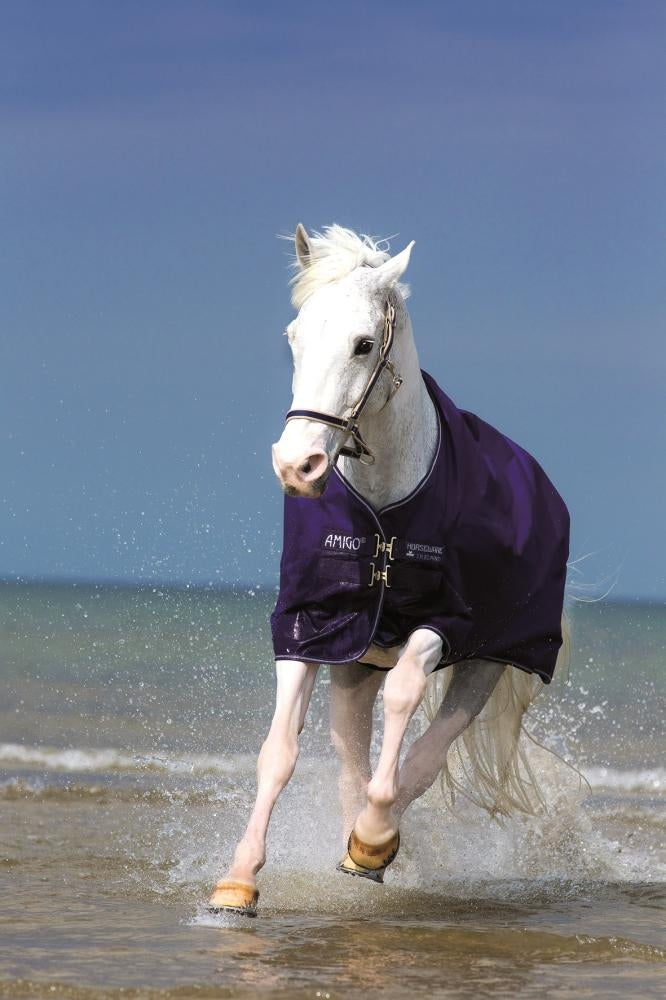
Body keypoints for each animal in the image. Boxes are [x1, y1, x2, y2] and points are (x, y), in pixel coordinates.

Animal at [208, 224, 570, 916]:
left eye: (363, 344)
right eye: (294, 337)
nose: (298, 466)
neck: (384, 510)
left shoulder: (447, 624)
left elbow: (406, 699)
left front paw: (374, 839)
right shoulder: (312, 625)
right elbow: (279, 750)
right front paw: (237, 882)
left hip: (489, 661)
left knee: (426, 753)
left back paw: (373, 842)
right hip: (356, 671)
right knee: (353, 756)